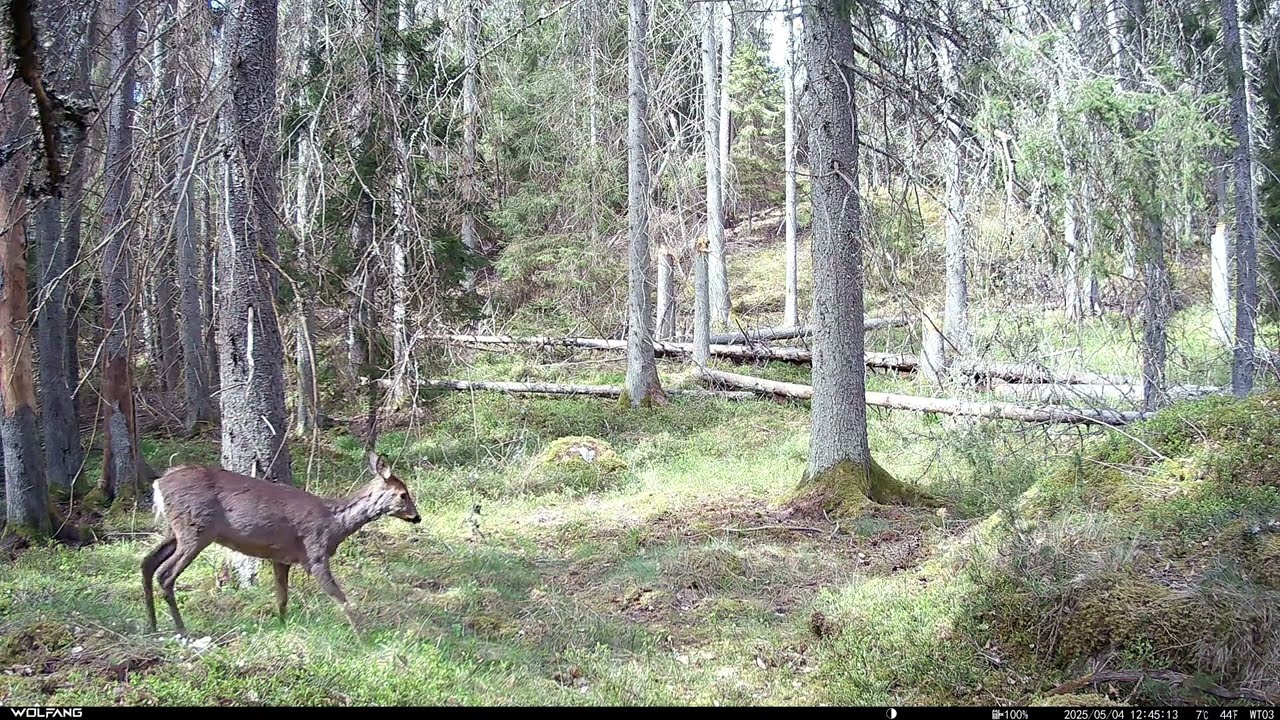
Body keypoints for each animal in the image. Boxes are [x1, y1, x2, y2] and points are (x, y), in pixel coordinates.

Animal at [142, 451, 421, 636]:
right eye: (403, 494)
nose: (417, 517)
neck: (335, 524)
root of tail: (159, 484)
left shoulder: (280, 558)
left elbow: (282, 598)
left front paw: (282, 626)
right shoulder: (315, 553)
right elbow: (341, 597)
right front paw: (362, 634)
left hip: (174, 531)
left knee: (147, 563)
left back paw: (153, 626)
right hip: (196, 530)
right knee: (165, 574)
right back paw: (182, 630)